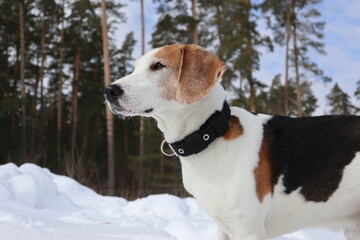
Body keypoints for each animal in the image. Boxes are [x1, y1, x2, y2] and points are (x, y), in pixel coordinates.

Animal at [104, 44, 360, 239]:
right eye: (136, 67)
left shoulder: (248, 229)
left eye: (158, 66)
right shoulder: (225, 228)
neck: (210, 134)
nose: (109, 90)